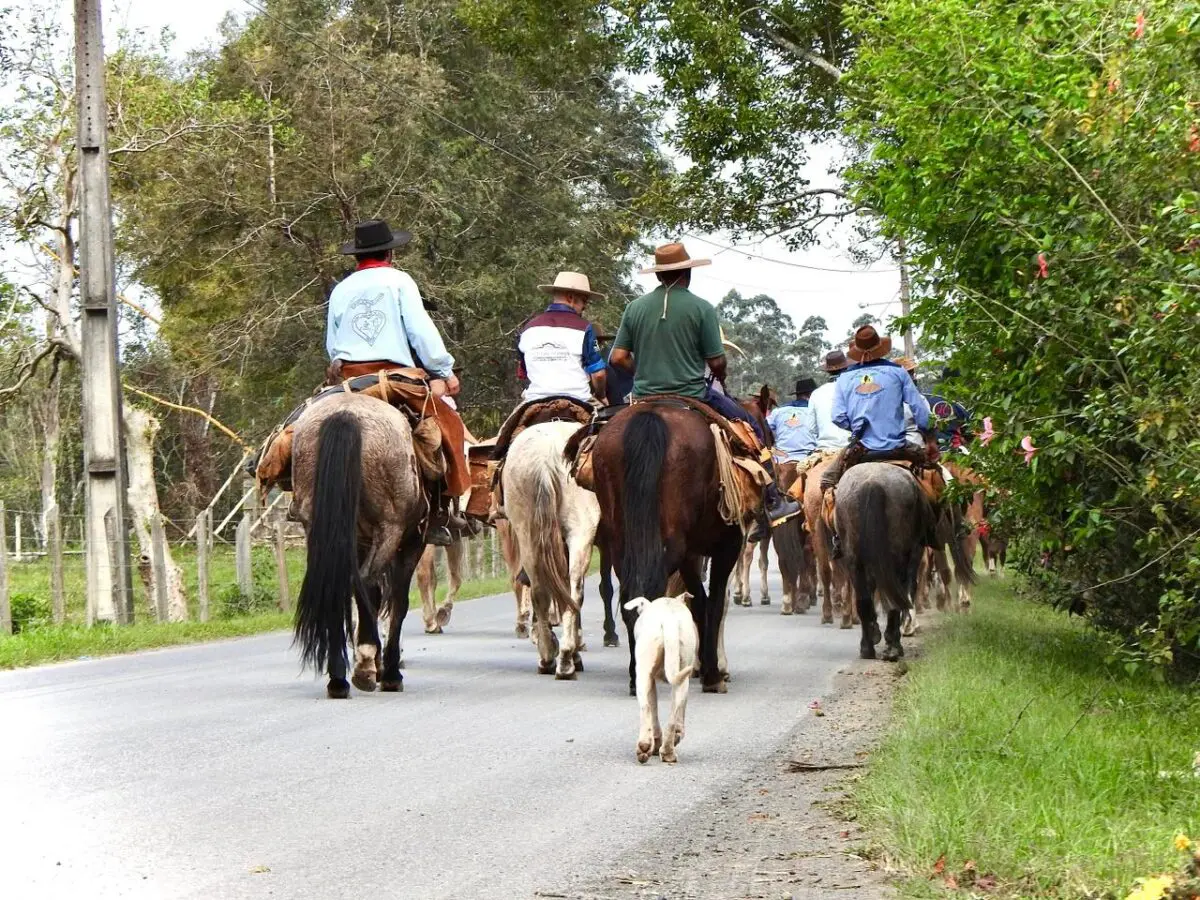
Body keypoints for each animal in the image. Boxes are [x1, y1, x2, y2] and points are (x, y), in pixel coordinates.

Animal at [290, 393, 427, 696]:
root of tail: (346, 414)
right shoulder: (412, 542)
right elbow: (397, 602)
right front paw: (388, 671)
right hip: (390, 528)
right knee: (367, 584)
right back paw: (364, 668)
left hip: (318, 528)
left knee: (338, 584)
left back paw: (339, 677)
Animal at [504, 424, 604, 681]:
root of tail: (545, 455)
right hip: (579, 533)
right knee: (574, 591)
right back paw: (567, 659)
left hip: (527, 534)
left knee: (540, 591)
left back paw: (548, 657)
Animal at [590, 405, 739, 696]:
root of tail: (650, 415)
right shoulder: (728, 545)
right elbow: (715, 603)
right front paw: (712, 674)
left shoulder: (691, 554)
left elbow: (700, 602)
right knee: (650, 589)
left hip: (621, 542)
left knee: (632, 596)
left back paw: (637, 674)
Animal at [624, 595, 700, 763]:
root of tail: (668, 620)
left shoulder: (650, 680)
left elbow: (653, 707)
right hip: (682, 675)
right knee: (672, 714)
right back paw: (667, 751)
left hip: (644, 672)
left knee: (646, 707)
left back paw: (647, 746)